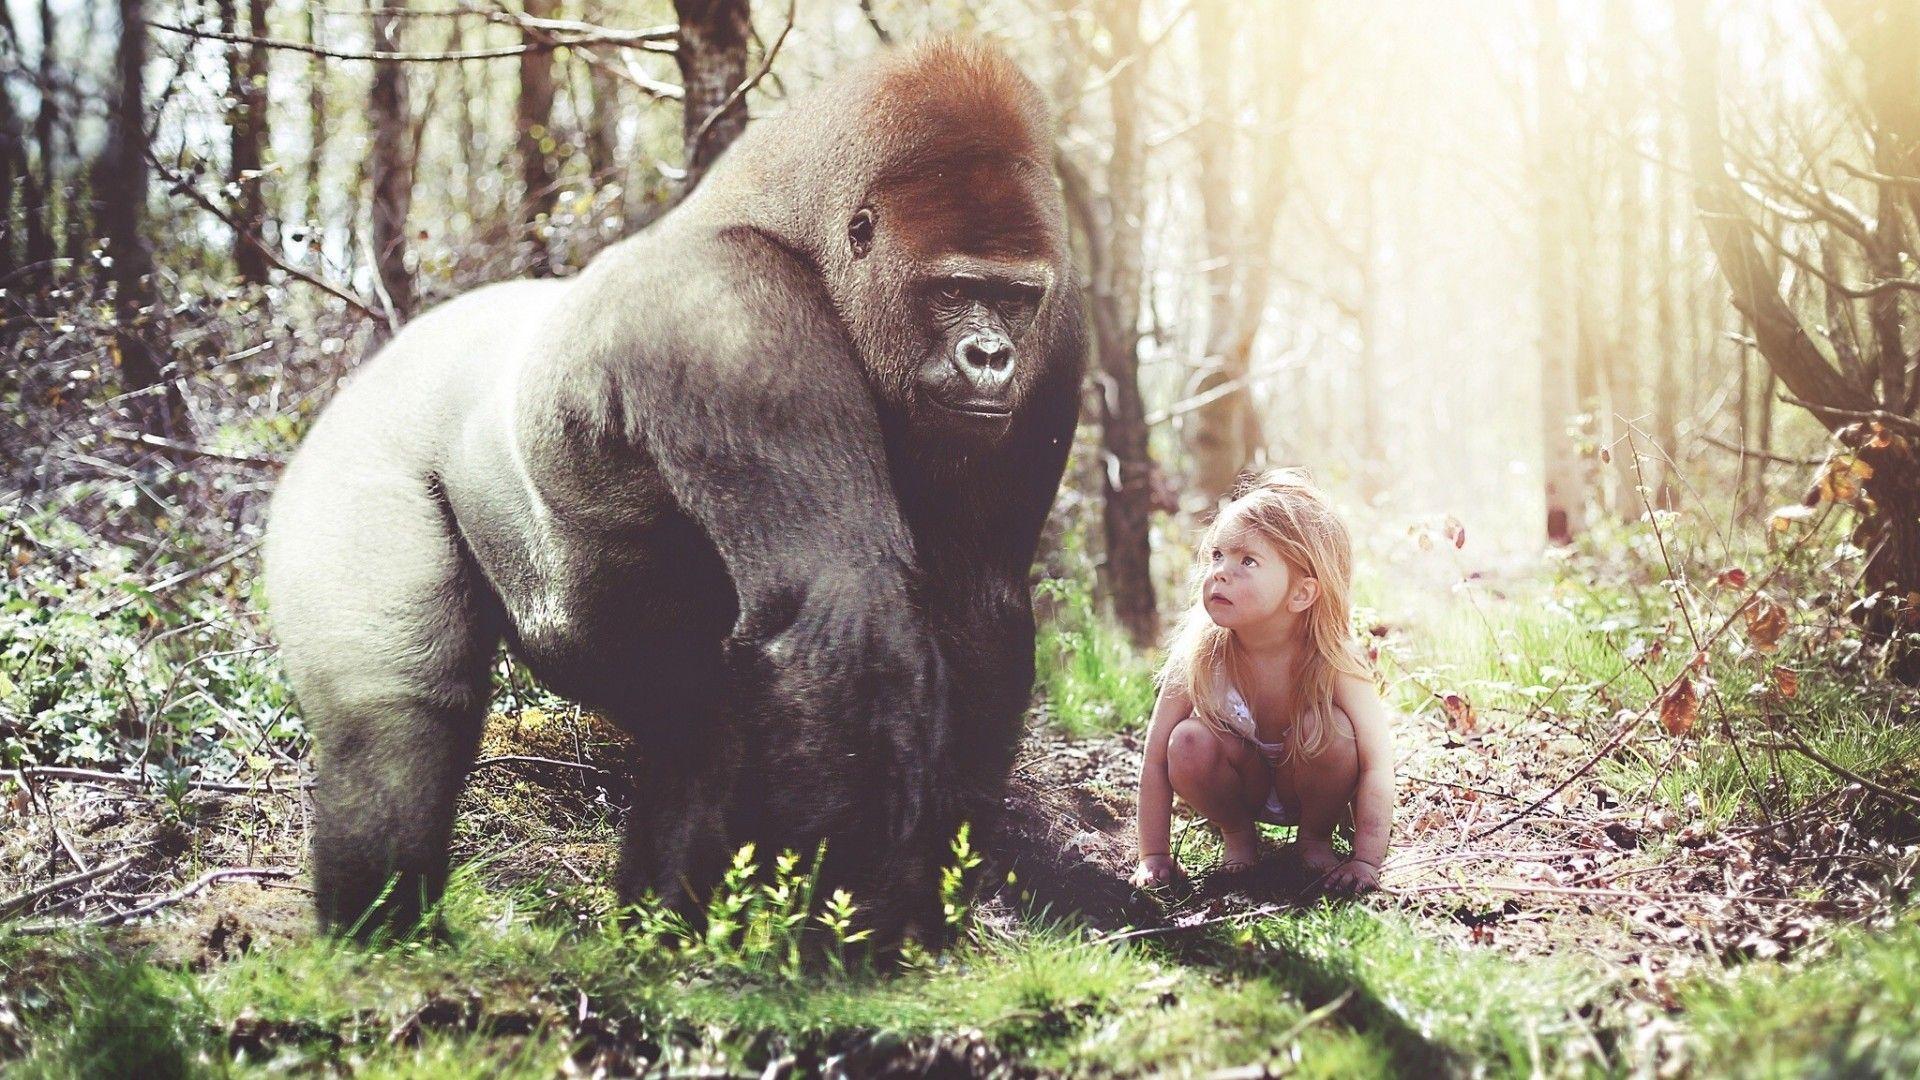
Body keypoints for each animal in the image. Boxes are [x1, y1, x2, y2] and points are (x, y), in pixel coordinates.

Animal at [263, 38, 1085, 944]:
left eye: (1015, 298)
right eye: (952, 289)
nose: (991, 357)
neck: (799, 228)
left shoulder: (1059, 335)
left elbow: (977, 603)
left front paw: (926, 898)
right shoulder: (732, 317)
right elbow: (843, 606)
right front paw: (856, 935)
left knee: (699, 728)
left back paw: (656, 930)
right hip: (360, 444)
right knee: (396, 723)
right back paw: (382, 932)